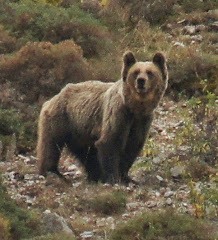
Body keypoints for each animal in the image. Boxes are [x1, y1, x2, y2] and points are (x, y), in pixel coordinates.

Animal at [36, 51, 168, 184]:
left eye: (150, 72)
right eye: (135, 72)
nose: (141, 81)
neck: (134, 108)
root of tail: (54, 97)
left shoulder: (142, 120)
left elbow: (132, 146)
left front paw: (126, 177)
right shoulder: (118, 114)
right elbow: (109, 142)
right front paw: (113, 178)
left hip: (79, 131)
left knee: (86, 153)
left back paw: (94, 175)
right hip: (61, 119)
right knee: (51, 145)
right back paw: (52, 172)